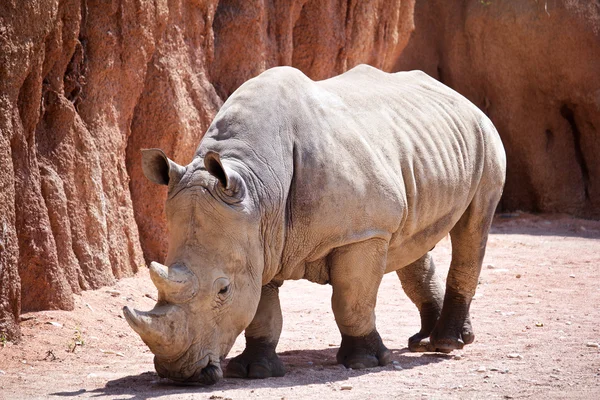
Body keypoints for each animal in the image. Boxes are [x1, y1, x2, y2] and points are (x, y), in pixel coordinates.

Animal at [123, 65, 506, 384]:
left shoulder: (360, 233)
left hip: (485, 136)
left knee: (473, 227)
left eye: (223, 290)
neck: (256, 182)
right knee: (411, 241)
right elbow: (262, 309)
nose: (178, 374)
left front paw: (364, 362)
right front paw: (255, 370)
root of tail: (458, 95)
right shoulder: (257, 236)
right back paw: (426, 340)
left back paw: (447, 344)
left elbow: (351, 299)